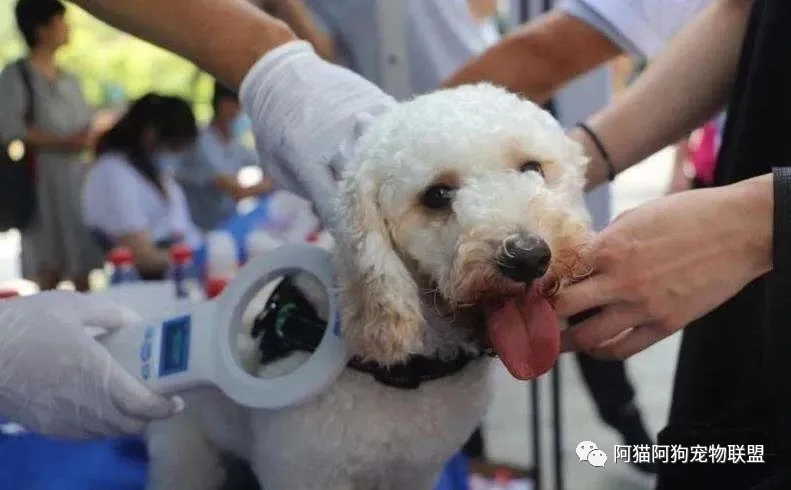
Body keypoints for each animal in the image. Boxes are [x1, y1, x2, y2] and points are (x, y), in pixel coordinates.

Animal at [147, 84, 592, 490]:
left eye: (532, 167)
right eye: (436, 195)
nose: (527, 257)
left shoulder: (414, 473)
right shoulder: (305, 474)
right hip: (184, 454)